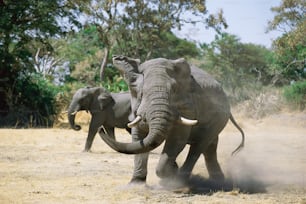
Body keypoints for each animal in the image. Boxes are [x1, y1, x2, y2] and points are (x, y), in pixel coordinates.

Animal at [98, 55, 244, 185]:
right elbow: (139, 138)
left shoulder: (187, 107)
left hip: (219, 118)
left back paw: (182, 182)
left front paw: (171, 175)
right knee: (209, 148)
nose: (100, 129)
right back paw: (218, 182)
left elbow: (177, 139)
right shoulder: (136, 107)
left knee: (199, 146)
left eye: (174, 90)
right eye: (142, 92)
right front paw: (136, 184)